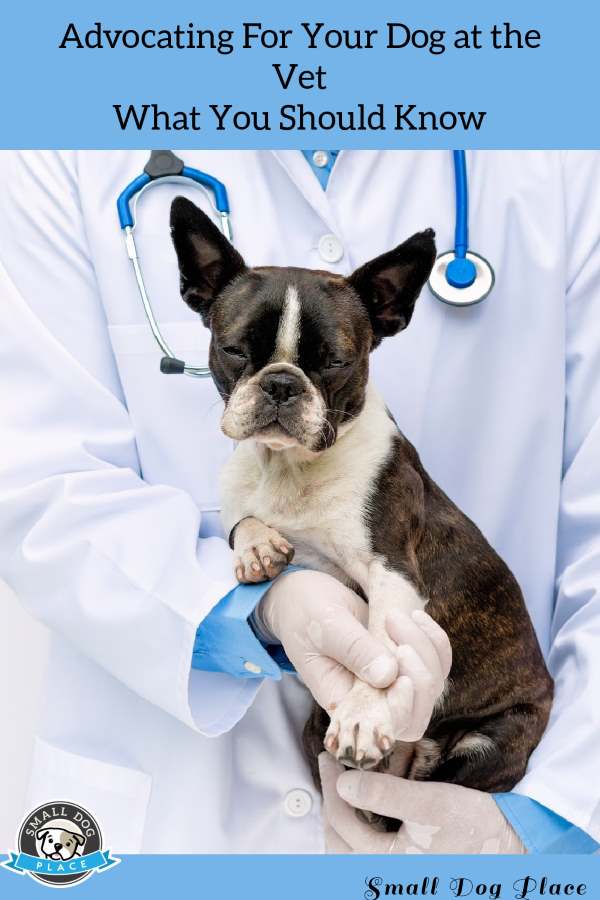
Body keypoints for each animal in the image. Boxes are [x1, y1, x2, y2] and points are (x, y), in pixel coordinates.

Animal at [169, 197, 552, 828]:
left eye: (334, 362)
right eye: (234, 350)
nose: (280, 383)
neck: (291, 468)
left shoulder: (393, 571)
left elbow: (385, 652)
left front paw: (364, 716)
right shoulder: (241, 491)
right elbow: (238, 519)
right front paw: (257, 545)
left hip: (494, 740)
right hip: (311, 731)